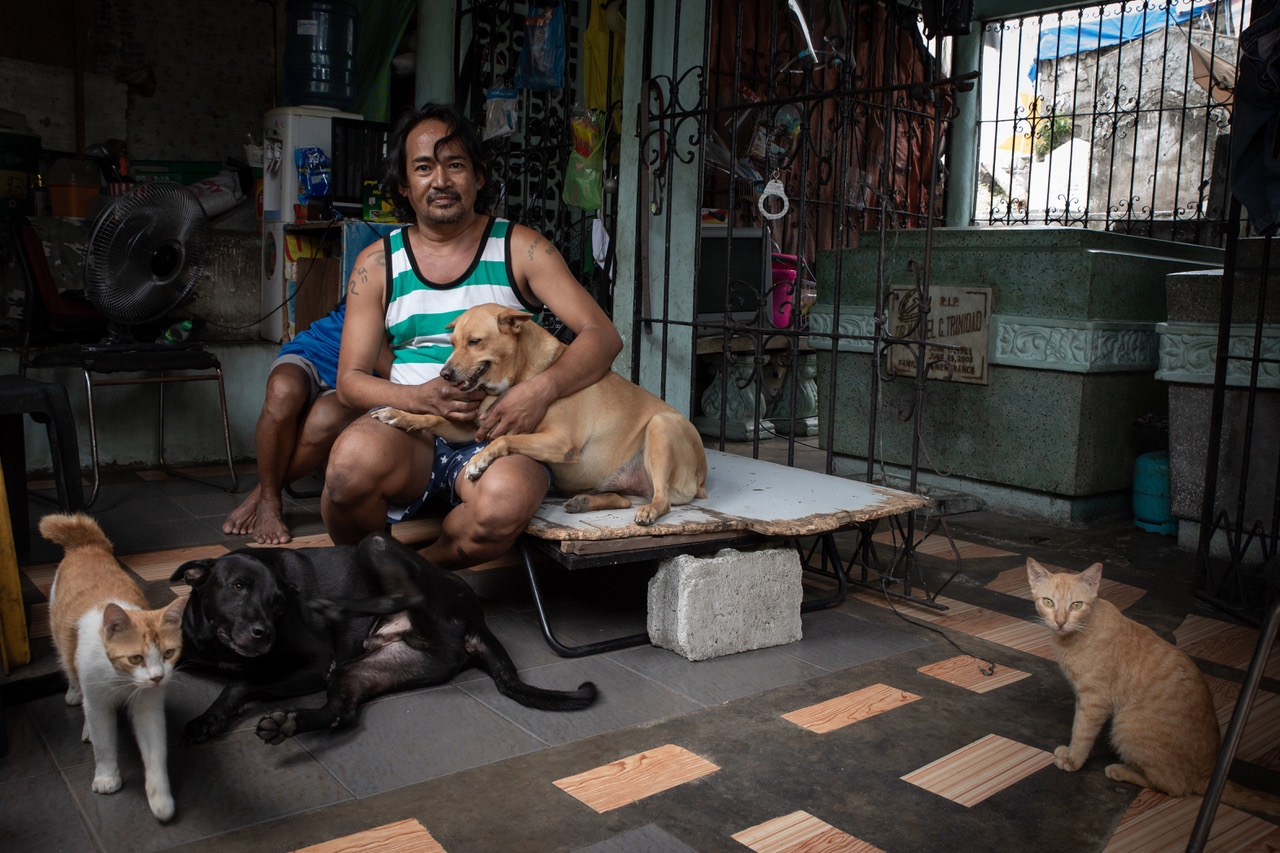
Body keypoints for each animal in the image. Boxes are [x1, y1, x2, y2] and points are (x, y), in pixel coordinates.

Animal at [42, 507, 185, 819]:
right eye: (135, 658)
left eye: (168, 653)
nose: (157, 677)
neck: (122, 680)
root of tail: (87, 544)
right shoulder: (98, 702)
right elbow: (104, 744)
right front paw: (106, 777)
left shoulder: (148, 706)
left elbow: (155, 751)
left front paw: (160, 797)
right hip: (60, 636)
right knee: (71, 673)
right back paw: (76, 700)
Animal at [170, 535, 599, 742]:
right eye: (237, 586)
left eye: (278, 601)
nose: (263, 633)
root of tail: (475, 620)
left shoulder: (313, 667)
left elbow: (240, 683)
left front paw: (208, 718)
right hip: (368, 669)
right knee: (340, 712)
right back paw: (289, 723)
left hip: (376, 546)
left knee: (408, 593)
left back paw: (338, 607)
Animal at [371, 302, 711, 522]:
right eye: (452, 343)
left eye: (475, 342)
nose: (444, 374)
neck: (519, 376)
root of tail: (702, 480)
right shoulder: (472, 429)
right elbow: (434, 418)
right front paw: (397, 415)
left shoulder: (559, 442)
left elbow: (504, 440)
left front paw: (480, 461)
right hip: (624, 479)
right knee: (626, 497)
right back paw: (585, 502)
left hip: (660, 426)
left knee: (663, 501)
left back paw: (649, 511)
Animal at [1029, 558, 1280, 809]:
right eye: (1048, 602)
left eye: (1076, 605)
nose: (1060, 622)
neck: (1076, 635)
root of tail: (1209, 775)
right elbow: (1077, 726)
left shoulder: (1094, 699)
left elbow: (1081, 731)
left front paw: (1073, 759)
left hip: (1125, 726)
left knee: (1174, 787)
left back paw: (1121, 770)